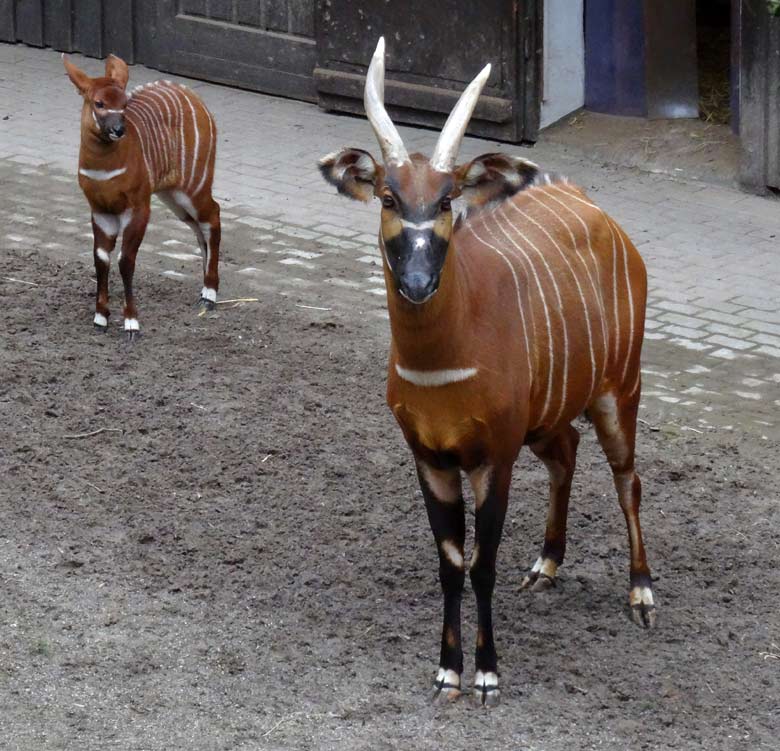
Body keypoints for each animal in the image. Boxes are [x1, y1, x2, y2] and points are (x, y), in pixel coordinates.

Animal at [62, 54, 221, 342]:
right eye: (99, 103)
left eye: (124, 103)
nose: (118, 129)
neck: (105, 168)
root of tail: (193, 97)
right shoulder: (100, 211)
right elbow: (101, 257)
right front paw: (100, 318)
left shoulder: (137, 208)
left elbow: (126, 260)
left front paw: (131, 323)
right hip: (173, 195)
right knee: (198, 226)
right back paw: (203, 288)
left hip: (194, 186)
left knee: (212, 215)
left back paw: (210, 295)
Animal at [320, 38, 656, 708]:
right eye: (390, 197)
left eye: (447, 199)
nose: (418, 280)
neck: (444, 364)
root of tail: (596, 211)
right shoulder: (430, 457)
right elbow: (452, 562)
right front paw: (446, 671)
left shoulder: (493, 456)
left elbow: (483, 563)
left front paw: (487, 674)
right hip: (548, 416)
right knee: (566, 453)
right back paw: (546, 565)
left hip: (618, 388)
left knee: (626, 477)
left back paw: (641, 593)